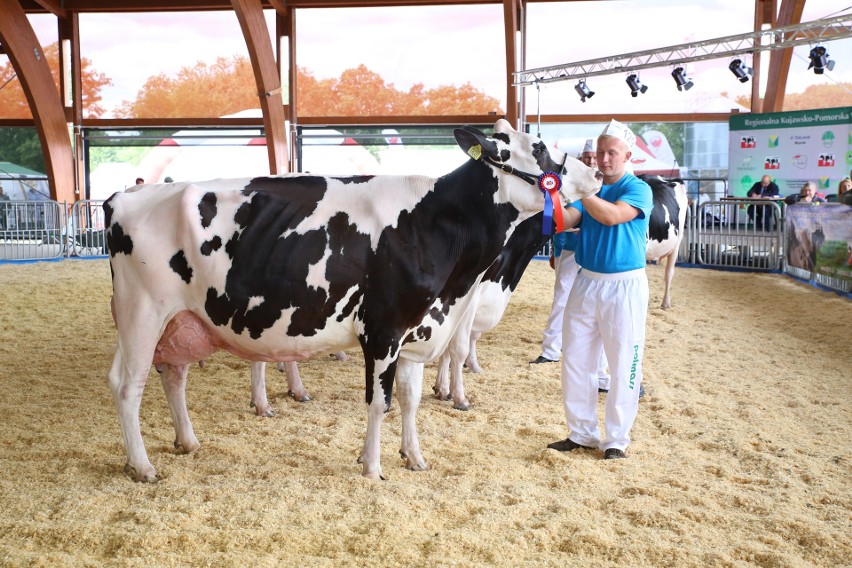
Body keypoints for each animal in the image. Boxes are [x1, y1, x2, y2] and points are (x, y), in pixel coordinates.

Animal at [105, 118, 600, 480]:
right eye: (539, 148)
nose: (595, 173)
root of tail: (126, 195)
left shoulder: (417, 332)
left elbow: (410, 400)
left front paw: (414, 457)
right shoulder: (383, 331)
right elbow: (380, 402)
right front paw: (372, 467)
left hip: (181, 321)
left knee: (172, 375)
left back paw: (187, 442)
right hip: (141, 315)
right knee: (129, 386)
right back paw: (142, 466)